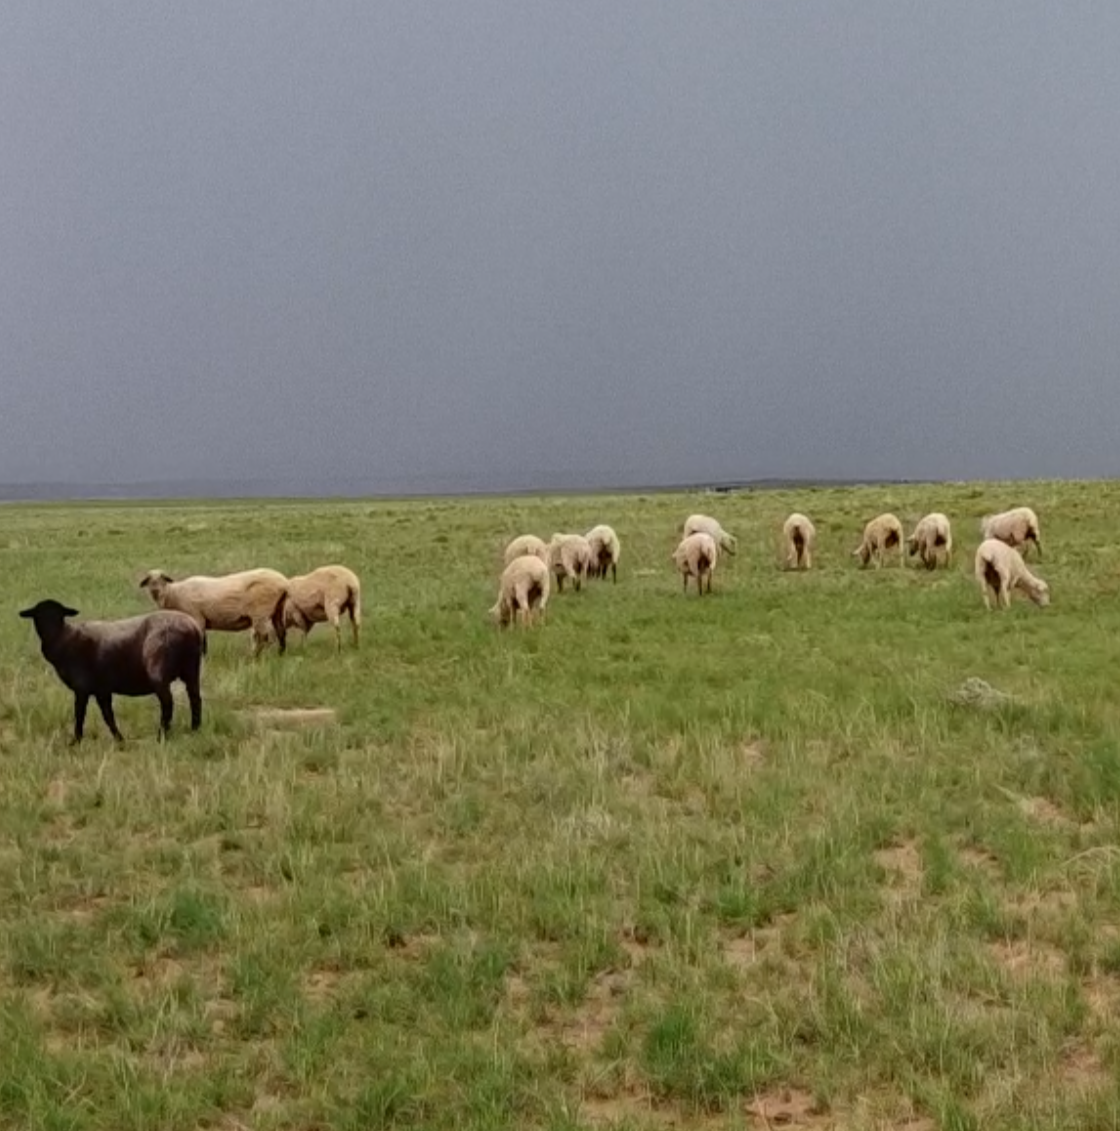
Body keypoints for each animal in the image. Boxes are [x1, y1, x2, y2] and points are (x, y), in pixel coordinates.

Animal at [18, 597, 204, 746]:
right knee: (195, 698)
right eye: (38, 617)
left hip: (159, 670)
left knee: (168, 703)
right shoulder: (102, 689)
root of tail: (193, 627)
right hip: (191, 669)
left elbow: (80, 714)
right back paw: (195, 730)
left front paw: (75, 742)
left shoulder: (82, 687)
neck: (66, 638)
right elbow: (108, 716)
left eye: (59, 616)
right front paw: (119, 740)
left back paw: (161, 737)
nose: (50, 639)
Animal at [138, 570, 289, 660]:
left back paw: (255, 658)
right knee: (281, 632)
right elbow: (203, 641)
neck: (174, 594)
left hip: (260, 612)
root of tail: (283, 582)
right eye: (149, 580)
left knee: (263, 637)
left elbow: (201, 641)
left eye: (163, 579)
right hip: (277, 609)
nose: (155, 589)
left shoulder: (197, 617)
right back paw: (280, 655)